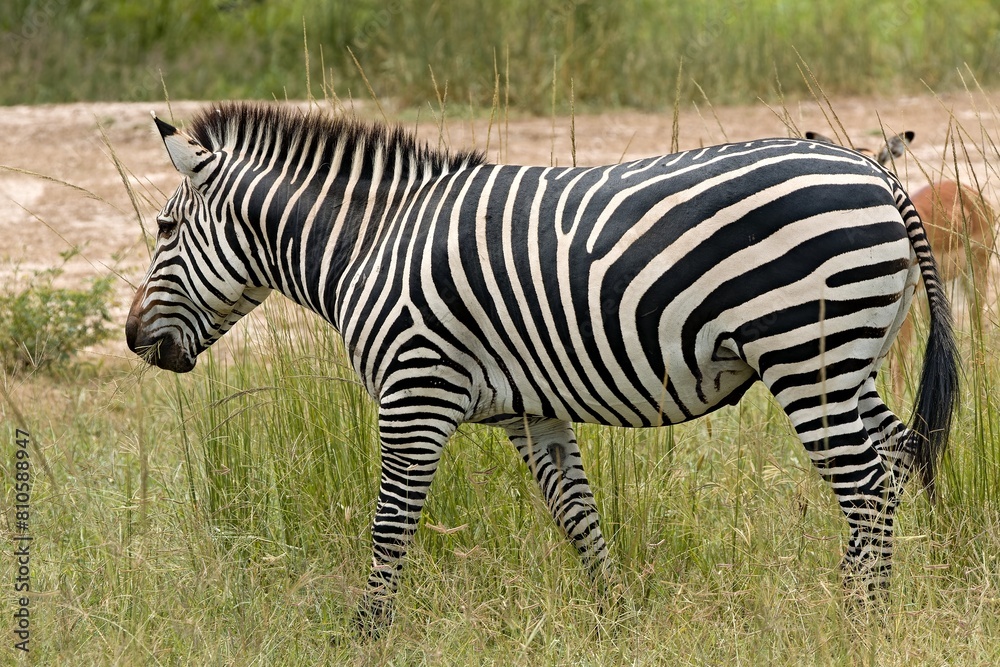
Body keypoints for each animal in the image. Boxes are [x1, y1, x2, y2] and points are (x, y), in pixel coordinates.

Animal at [126, 101, 959, 632]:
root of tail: (879, 173)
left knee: (867, 485)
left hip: (805, 355)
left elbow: (391, 522)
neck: (371, 244)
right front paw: (616, 617)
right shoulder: (531, 410)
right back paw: (859, 602)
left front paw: (365, 631)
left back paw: (860, 623)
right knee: (897, 457)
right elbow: (577, 514)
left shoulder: (415, 391)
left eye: (165, 228)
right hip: (851, 360)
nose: (133, 338)